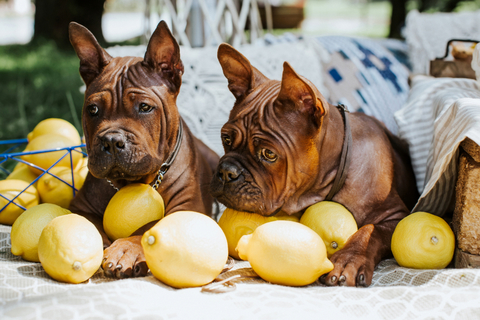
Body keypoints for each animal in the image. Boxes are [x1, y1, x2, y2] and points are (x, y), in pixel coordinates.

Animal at [68, 21, 218, 278]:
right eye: (93, 109)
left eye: (145, 107)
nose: (111, 140)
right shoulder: (79, 207)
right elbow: (91, 225)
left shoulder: (188, 207)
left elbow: (150, 226)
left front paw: (126, 249)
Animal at [210, 43, 416, 286]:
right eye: (226, 139)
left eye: (269, 154)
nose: (226, 172)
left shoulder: (396, 216)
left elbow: (371, 231)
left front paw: (350, 258)